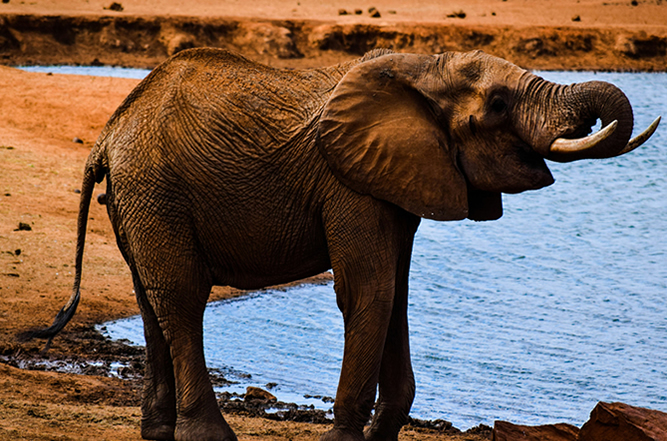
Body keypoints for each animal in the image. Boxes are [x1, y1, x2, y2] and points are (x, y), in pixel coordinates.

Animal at [25, 47, 659, 441]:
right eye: (499, 105)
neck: (422, 69)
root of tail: (107, 133)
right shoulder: (348, 183)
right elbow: (367, 292)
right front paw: (349, 437)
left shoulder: (398, 179)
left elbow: (396, 293)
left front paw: (382, 433)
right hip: (155, 188)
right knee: (182, 298)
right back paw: (210, 434)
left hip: (139, 197)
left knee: (150, 300)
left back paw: (157, 432)